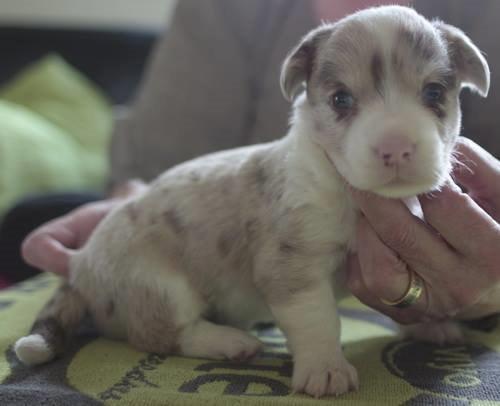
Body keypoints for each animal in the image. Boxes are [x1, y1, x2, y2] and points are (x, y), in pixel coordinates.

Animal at [14, 6, 488, 398]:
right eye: (341, 100)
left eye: (434, 94)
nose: (396, 148)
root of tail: (79, 265)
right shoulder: (293, 264)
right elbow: (318, 318)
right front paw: (325, 368)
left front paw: (431, 323)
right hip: (157, 284)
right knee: (163, 333)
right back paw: (229, 342)